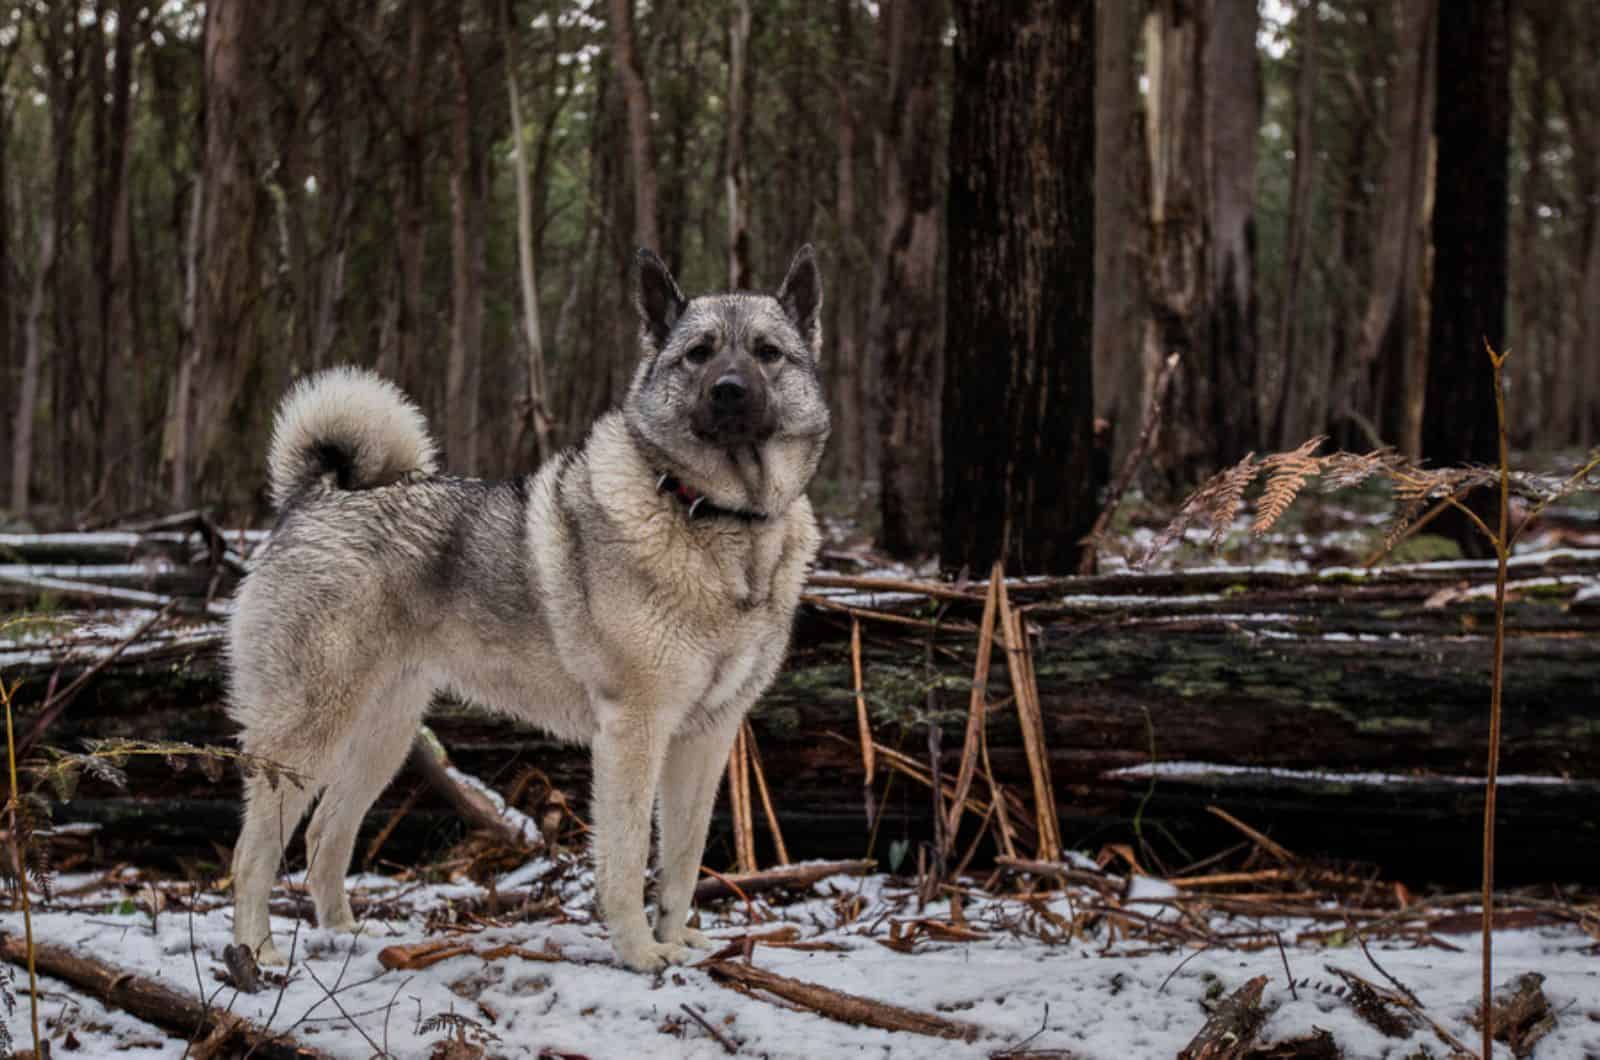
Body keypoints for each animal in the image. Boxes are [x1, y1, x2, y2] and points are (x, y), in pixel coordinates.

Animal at [232, 246, 832, 973]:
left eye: (769, 353)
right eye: (698, 354)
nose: (730, 391)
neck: (718, 519)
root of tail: (315, 498)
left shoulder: (707, 736)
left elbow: (683, 859)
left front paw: (678, 939)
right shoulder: (634, 731)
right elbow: (628, 858)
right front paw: (641, 952)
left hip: (385, 733)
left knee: (325, 832)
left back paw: (344, 936)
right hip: (308, 731)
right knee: (253, 850)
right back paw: (254, 953)